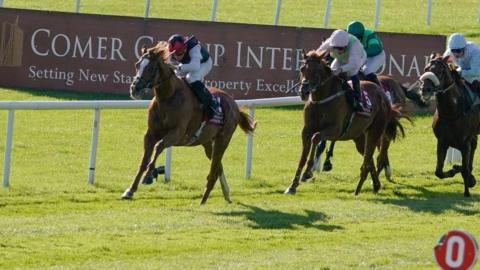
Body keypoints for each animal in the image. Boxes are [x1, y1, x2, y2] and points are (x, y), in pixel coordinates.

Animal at [124, 41, 256, 204]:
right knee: (218, 166)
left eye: (152, 68)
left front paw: (149, 175)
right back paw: (225, 194)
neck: (168, 98)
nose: (134, 89)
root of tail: (234, 104)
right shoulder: (150, 133)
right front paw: (130, 190)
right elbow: (143, 160)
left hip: (223, 139)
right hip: (207, 142)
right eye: (137, 65)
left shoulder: (177, 133)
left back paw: (204, 201)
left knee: (214, 169)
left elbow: (158, 146)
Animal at [284, 50, 404, 194]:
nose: (304, 91)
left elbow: (316, 137)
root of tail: (383, 93)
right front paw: (293, 185)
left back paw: (368, 184)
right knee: (368, 158)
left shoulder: (335, 129)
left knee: (374, 155)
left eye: (317, 70)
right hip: (359, 137)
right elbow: (303, 156)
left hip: (376, 130)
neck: (320, 100)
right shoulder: (306, 130)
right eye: (302, 68)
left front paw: (308, 172)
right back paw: (375, 184)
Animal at [418, 52, 478, 196]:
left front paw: (467, 191)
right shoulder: (442, 141)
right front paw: (455, 170)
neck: (452, 112)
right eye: (426, 68)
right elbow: (438, 172)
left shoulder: (464, 143)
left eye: (440, 71)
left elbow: (465, 168)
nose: (425, 89)